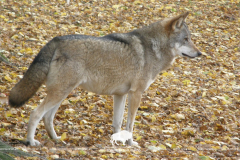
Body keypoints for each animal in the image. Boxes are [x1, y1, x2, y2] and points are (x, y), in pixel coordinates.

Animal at [8, 11, 202, 146]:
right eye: (186, 39)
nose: (200, 53)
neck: (153, 48)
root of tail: (56, 40)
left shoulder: (120, 95)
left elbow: (118, 123)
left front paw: (117, 142)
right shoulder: (136, 94)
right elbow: (130, 124)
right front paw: (130, 143)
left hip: (63, 92)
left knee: (48, 117)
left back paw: (57, 140)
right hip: (60, 92)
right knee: (35, 113)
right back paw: (31, 142)